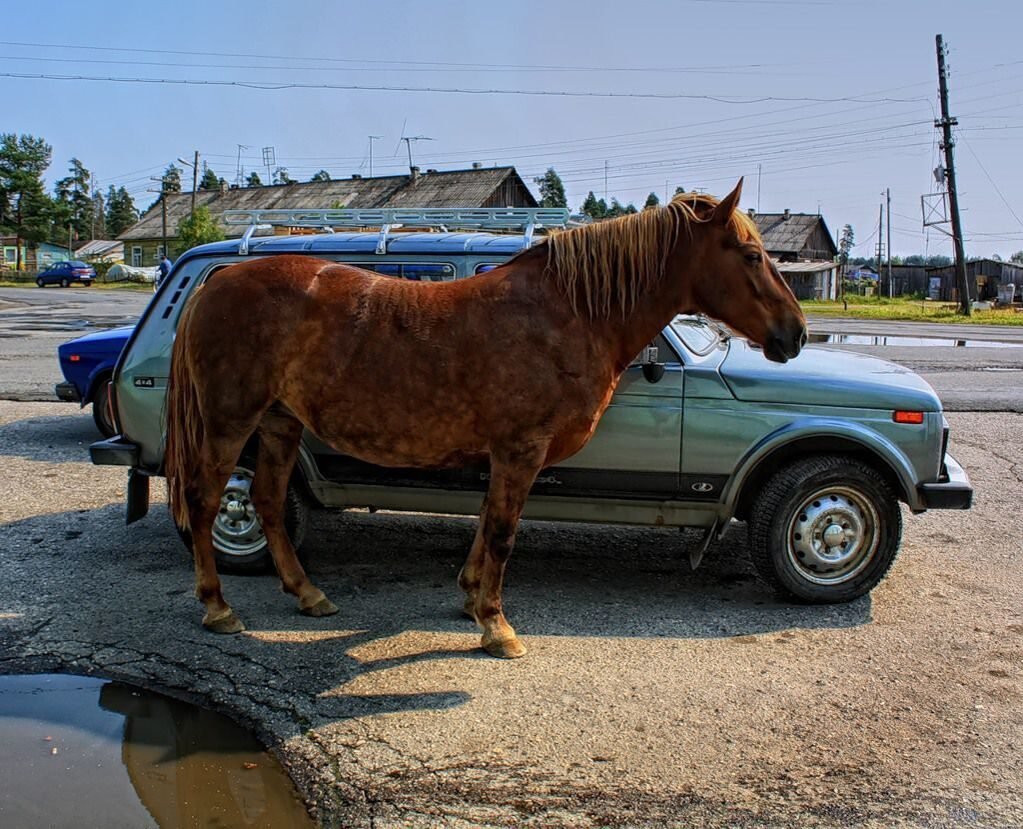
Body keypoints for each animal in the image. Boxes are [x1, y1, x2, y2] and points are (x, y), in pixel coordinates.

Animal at [165, 182, 806, 659]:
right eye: (752, 255)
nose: (795, 335)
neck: (567, 313)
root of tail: (213, 283)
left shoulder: (503, 455)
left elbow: (484, 525)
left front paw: (471, 599)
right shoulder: (519, 450)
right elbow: (501, 530)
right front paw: (496, 626)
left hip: (280, 423)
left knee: (270, 503)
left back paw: (308, 594)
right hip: (229, 422)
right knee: (206, 500)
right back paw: (218, 607)